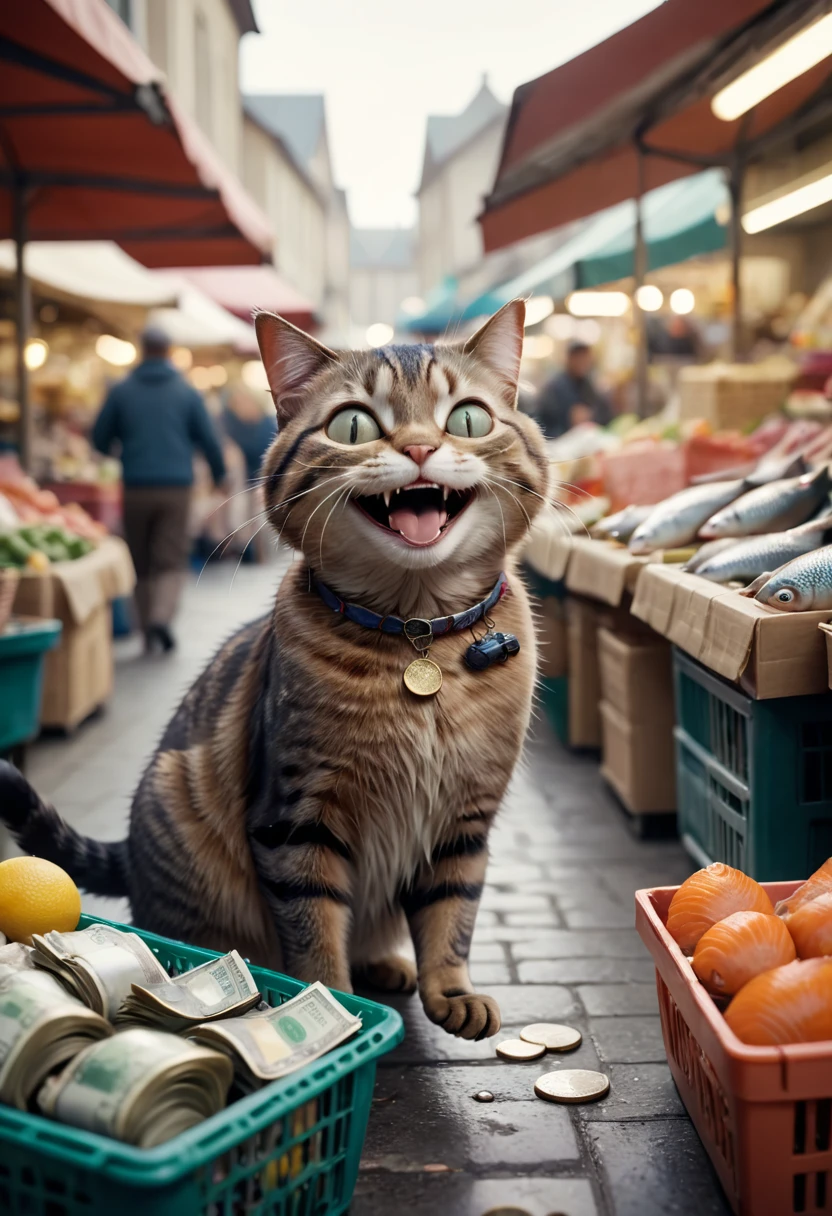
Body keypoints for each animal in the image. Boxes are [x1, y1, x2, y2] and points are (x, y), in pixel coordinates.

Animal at [0, 299, 549, 1040]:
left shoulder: (465, 819)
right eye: (353, 425)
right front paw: (337, 1006)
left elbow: (452, 914)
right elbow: (315, 933)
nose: (418, 448)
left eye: (466, 418)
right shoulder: (296, 818)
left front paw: (451, 990)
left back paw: (387, 964)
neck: (417, 641)